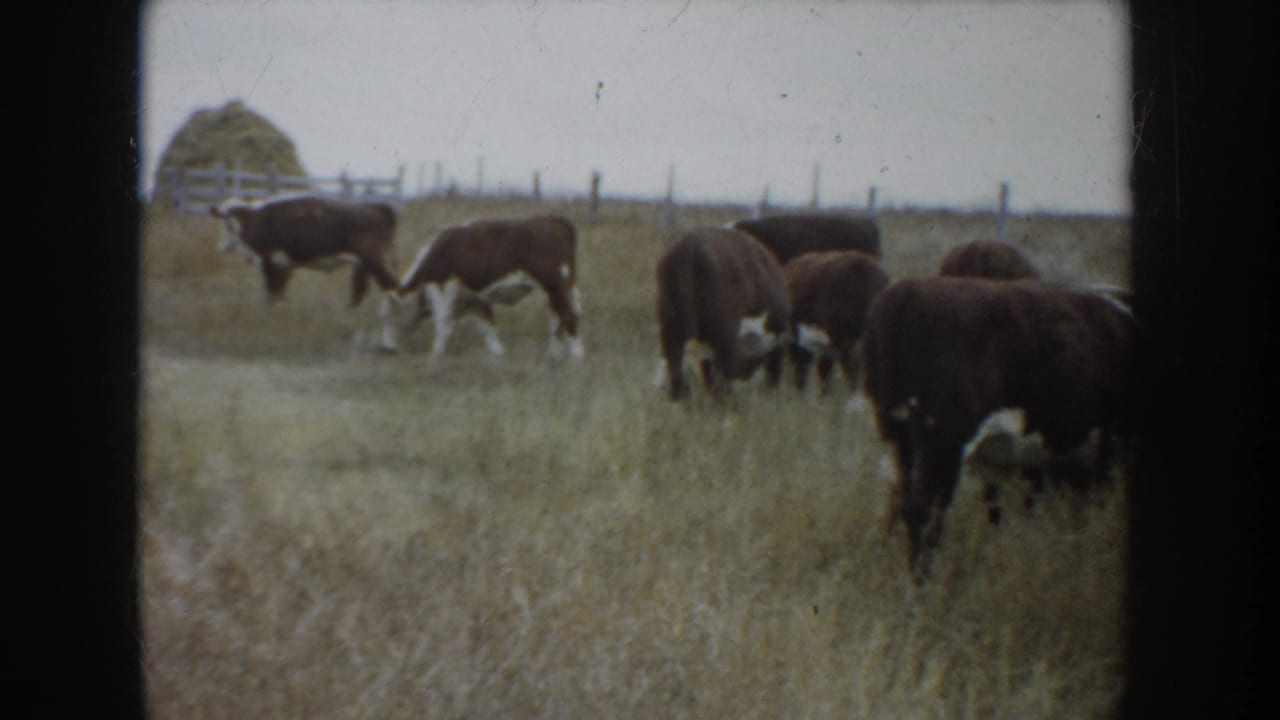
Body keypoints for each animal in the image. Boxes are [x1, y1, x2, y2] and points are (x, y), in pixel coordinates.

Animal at [210, 194, 399, 308]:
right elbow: (278, 292)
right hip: (363, 265)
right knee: (360, 291)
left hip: (374, 260)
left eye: (226, 224)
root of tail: (377, 207)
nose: (221, 247)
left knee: (391, 287)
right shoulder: (285, 266)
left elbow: (272, 293)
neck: (253, 220)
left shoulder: (269, 262)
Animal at [385, 215, 583, 360]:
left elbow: (443, 324)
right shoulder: (476, 299)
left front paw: (435, 356)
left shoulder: (442, 288)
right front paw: (498, 354)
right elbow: (488, 328)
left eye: (388, 316)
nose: (386, 349)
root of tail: (555, 220)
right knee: (557, 319)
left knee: (568, 316)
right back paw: (553, 355)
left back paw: (576, 357)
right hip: (559, 290)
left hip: (555, 285)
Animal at [656, 227, 791, 400]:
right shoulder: (777, 339)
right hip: (724, 334)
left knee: (677, 372)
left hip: (671, 329)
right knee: (722, 380)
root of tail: (689, 246)